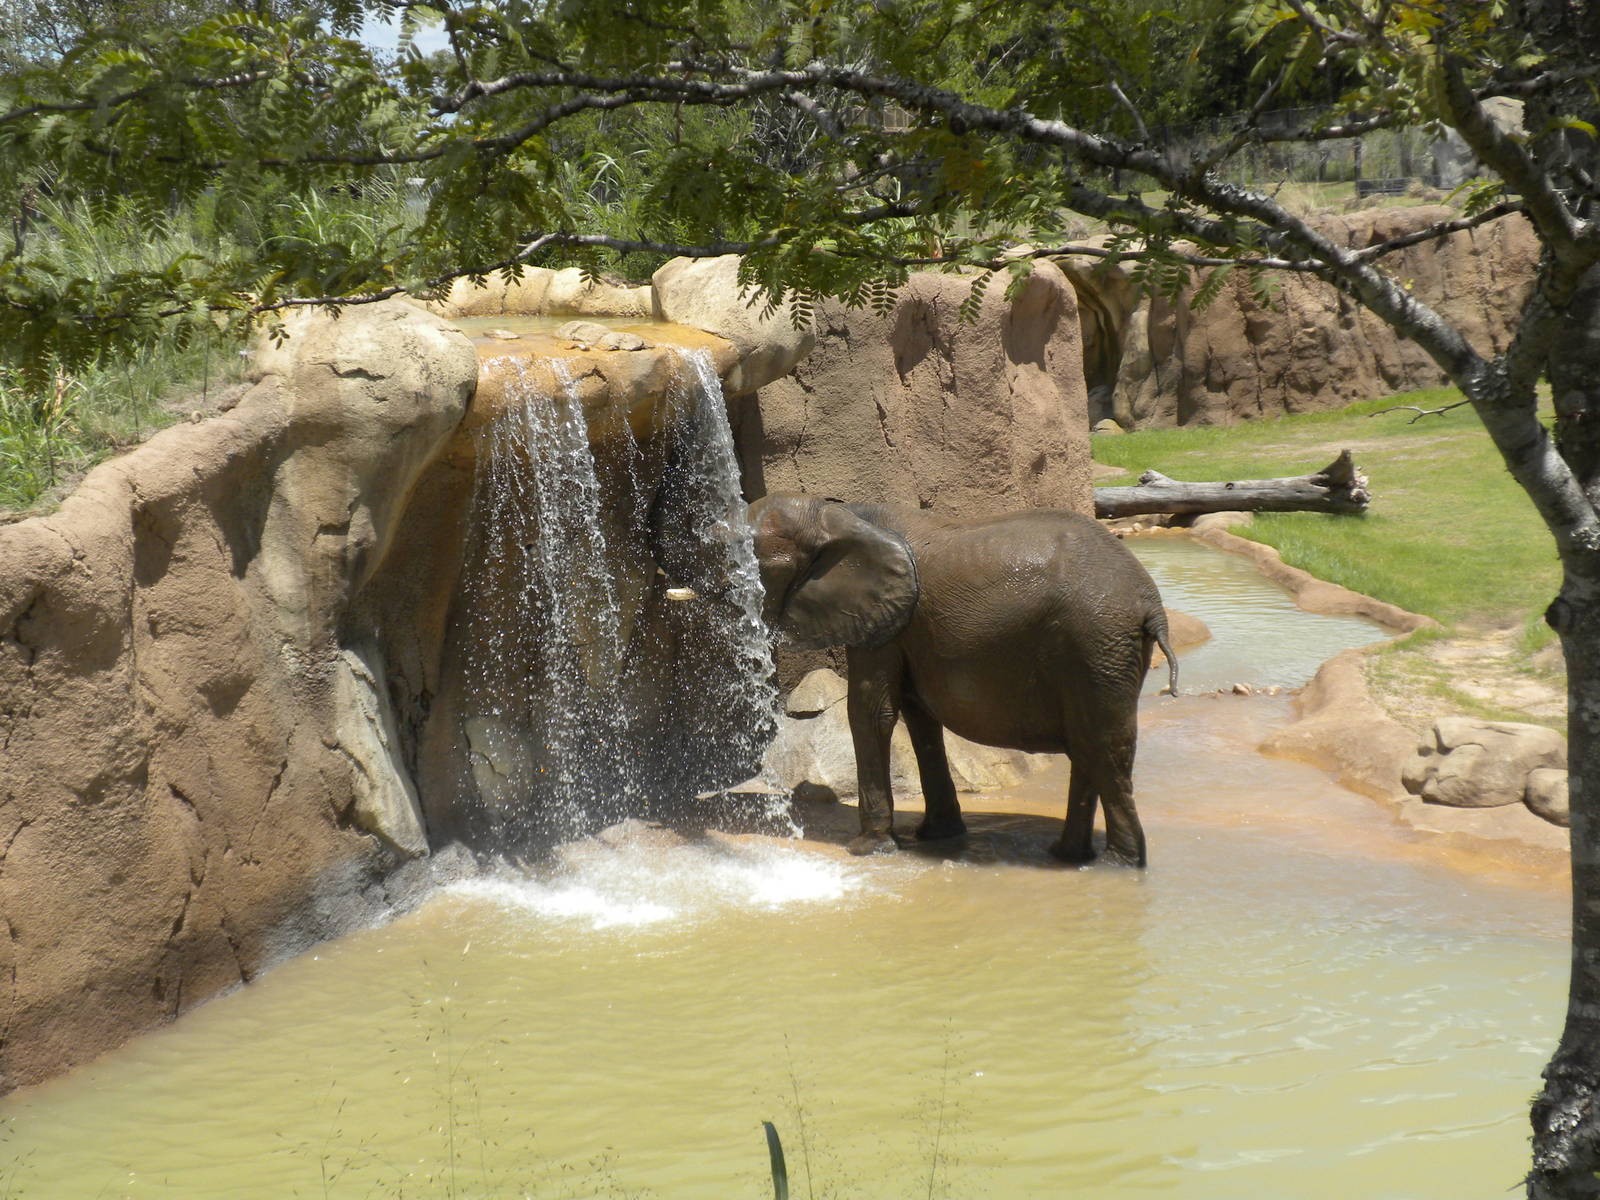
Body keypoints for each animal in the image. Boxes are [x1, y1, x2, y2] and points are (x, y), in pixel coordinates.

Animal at [748, 494, 1177, 866]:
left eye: (756, 569)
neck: (838, 514)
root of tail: (1151, 604)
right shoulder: (899, 624)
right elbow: (918, 716)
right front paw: (937, 836)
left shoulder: (881, 620)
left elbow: (872, 712)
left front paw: (867, 849)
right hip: (1103, 653)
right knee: (1087, 744)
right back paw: (1067, 856)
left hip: (1096, 643)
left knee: (1104, 749)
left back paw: (1115, 865)